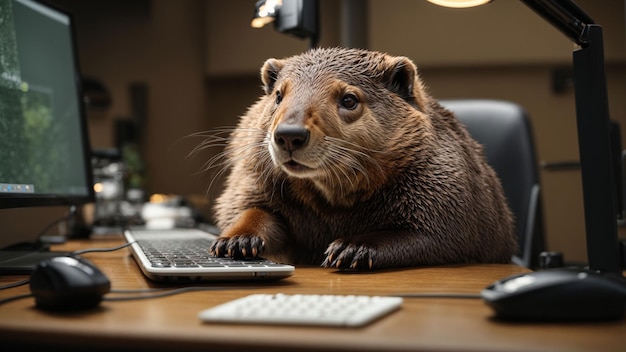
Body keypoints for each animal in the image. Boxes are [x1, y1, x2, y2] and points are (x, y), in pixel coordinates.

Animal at [206, 46, 516, 270]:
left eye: (349, 99)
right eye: (279, 95)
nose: (289, 135)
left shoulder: (444, 180)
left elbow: (437, 234)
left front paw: (350, 248)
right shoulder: (256, 176)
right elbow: (251, 209)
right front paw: (236, 240)